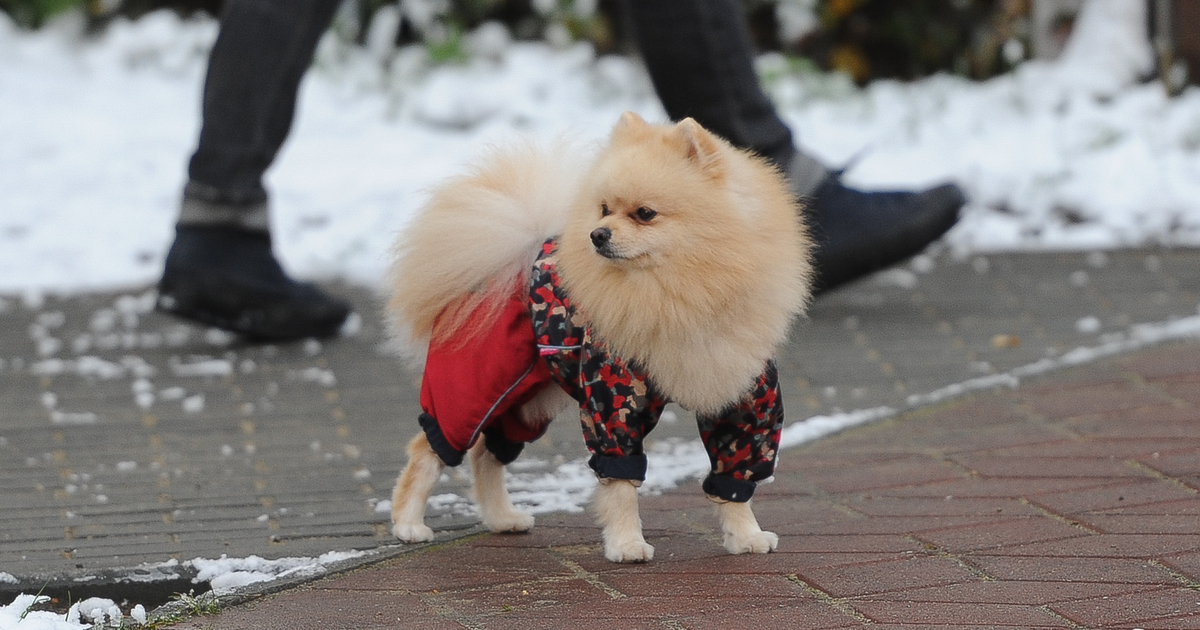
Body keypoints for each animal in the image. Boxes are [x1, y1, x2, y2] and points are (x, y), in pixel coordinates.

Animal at [388, 111, 811, 559]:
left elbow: (735, 481)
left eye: (645, 213)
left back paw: (503, 519)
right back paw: (409, 524)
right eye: (605, 209)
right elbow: (621, 483)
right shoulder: (612, 397)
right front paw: (627, 543)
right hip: (473, 388)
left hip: (528, 401)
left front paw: (746, 536)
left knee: (487, 453)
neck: (676, 289)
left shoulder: (744, 397)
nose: (597, 234)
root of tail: (505, 262)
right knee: (430, 449)